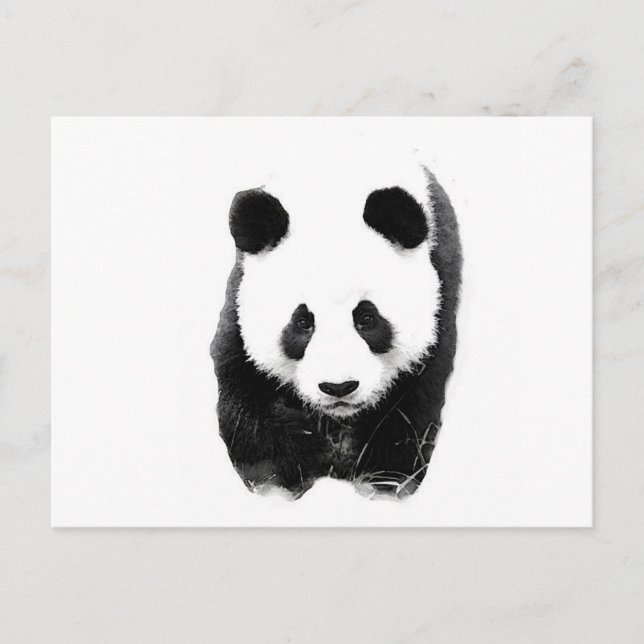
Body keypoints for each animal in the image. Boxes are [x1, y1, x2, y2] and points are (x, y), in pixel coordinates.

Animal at [211, 163, 461, 499]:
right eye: (302, 322)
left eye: (367, 318)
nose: (339, 387)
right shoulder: (239, 307)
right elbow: (246, 406)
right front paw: (293, 464)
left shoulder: (440, 298)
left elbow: (409, 412)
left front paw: (381, 481)